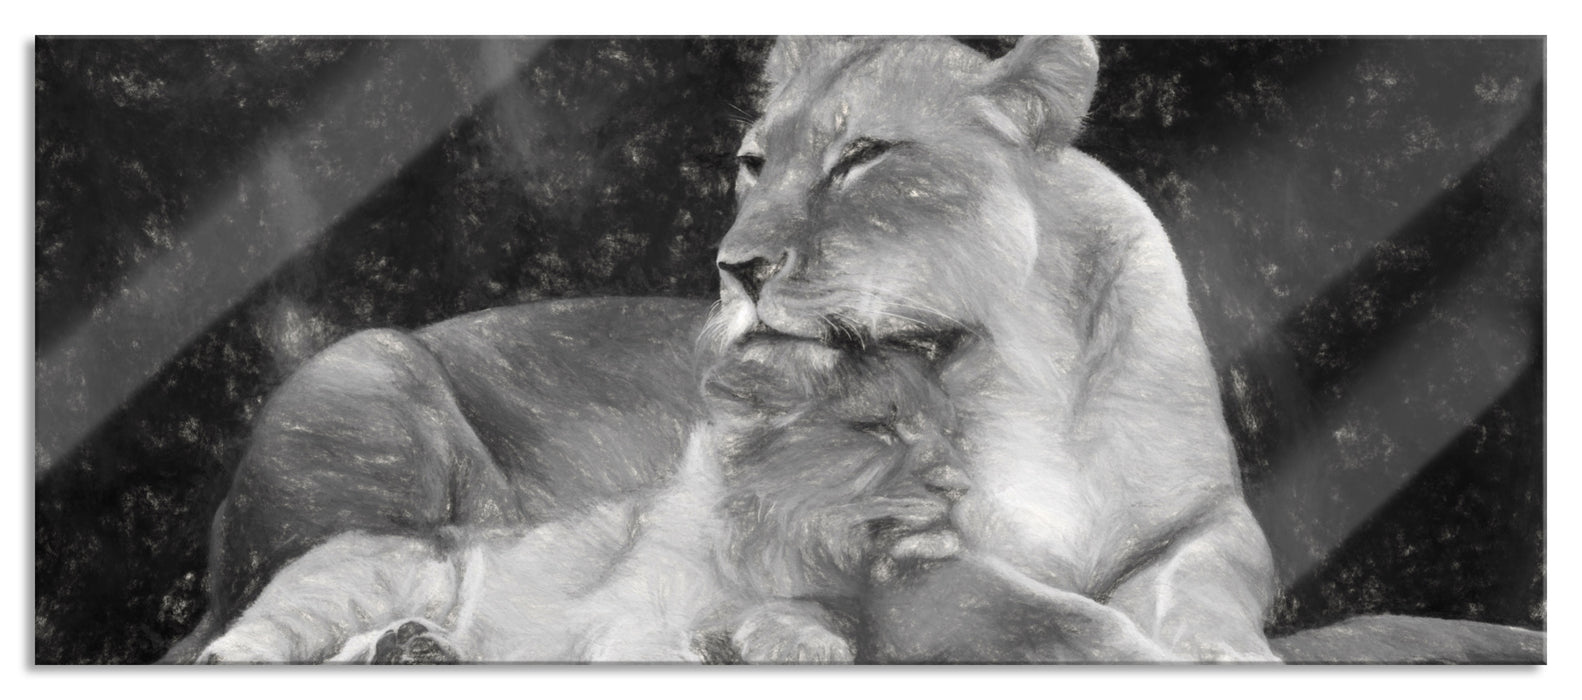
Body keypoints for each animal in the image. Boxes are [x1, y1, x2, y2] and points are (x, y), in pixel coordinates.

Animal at [195, 340, 969, 663]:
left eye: (953, 430)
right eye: (877, 427)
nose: (963, 485)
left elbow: (814, 628)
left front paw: (793, 642)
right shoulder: (628, 622)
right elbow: (656, 651)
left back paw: (418, 649)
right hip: (373, 583)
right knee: (250, 647)